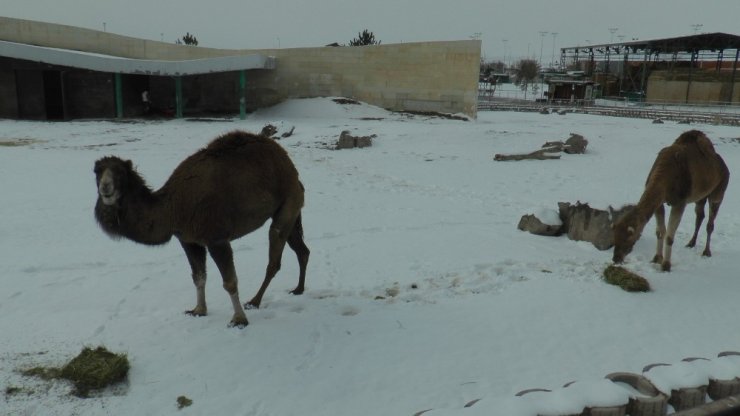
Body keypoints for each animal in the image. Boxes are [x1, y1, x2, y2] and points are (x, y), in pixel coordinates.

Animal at [94, 132, 310, 326]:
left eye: (120, 173)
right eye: (96, 171)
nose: (106, 188)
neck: (172, 207)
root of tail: (292, 169)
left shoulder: (216, 239)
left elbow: (229, 281)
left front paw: (239, 319)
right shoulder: (188, 240)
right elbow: (199, 277)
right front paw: (198, 310)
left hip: (288, 203)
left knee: (274, 257)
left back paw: (254, 302)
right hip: (290, 211)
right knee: (302, 250)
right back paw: (298, 289)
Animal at [612, 131, 728, 272]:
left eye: (628, 239)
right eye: (614, 237)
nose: (616, 258)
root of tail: (724, 166)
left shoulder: (680, 202)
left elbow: (669, 236)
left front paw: (666, 265)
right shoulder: (660, 203)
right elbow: (660, 231)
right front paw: (656, 258)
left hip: (718, 192)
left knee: (710, 222)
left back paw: (706, 252)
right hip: (701, 197)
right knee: (700, 216)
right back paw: (691, 243)